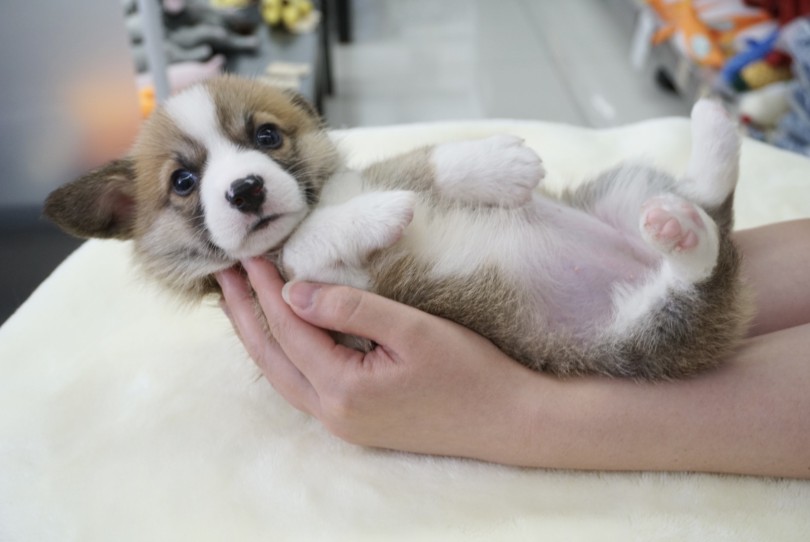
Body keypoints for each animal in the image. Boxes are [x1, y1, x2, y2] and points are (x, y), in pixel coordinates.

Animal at [45, 75, 752, 382]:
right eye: (183, 182)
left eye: (267, 137)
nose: (245, 190)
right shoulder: (323, 291)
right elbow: (306, 245)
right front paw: (380, 215)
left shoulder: (382, 172)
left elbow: (422, 164)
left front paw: (497, 164)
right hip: (643, 333)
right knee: (698, 269)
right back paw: (683, 229)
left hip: (623, 192)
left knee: (708, 203)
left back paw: (713, 127)